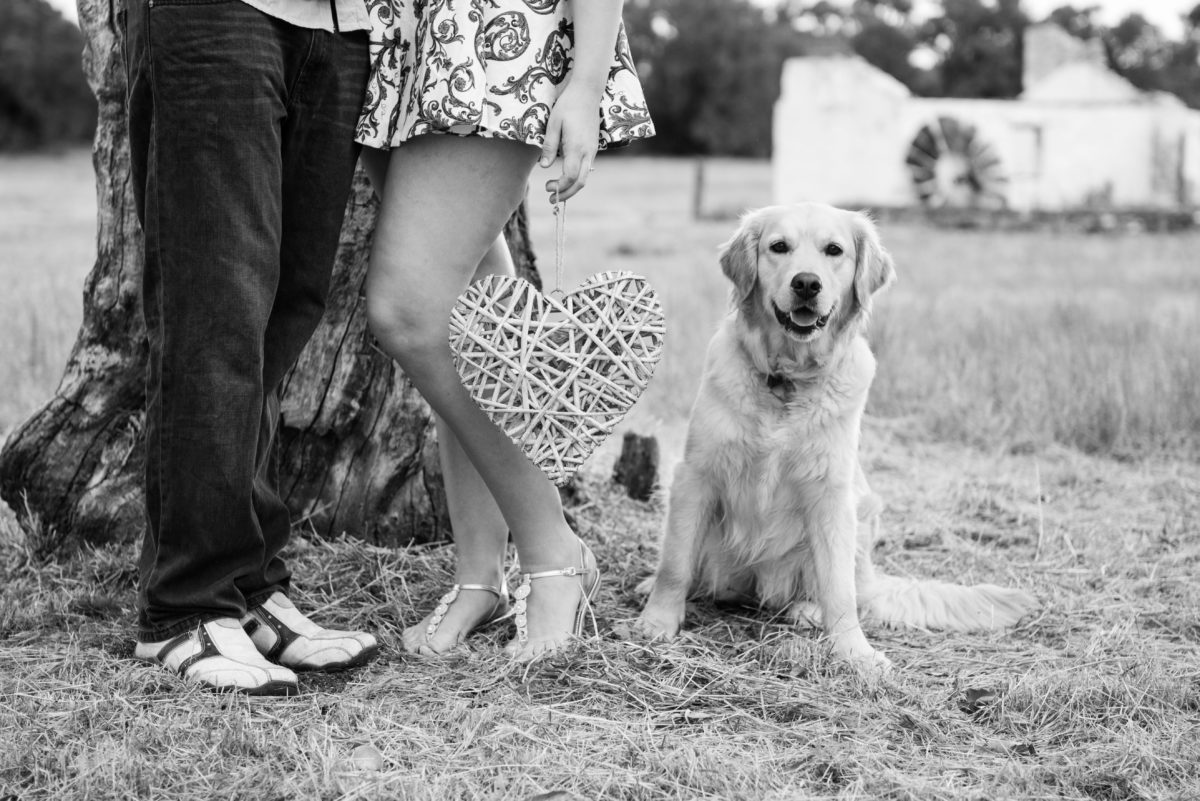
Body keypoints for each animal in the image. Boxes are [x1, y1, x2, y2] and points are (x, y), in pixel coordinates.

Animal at [633, 201, 1036, 671]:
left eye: (834, 250)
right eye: (779, 247)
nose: (807, 283)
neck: (787, 377)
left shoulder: (831, 493)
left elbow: (839, 590)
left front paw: (855, 652)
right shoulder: (695, 475)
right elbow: (675, 562)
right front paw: (657, 622)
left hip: (863, 514)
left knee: (850, 589)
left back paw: (809, 611)